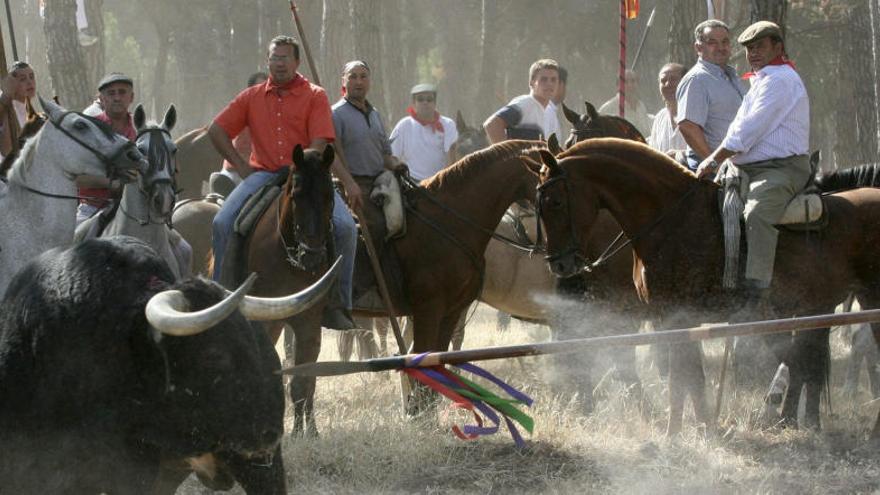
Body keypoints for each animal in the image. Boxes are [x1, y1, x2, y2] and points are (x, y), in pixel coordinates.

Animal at [536, 138, 880, 436]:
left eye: (555, 201)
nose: (559, 264)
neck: (673, 218)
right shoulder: (675, 319)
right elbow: (692, 376)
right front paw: (703, 428)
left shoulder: (677, 315)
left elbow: (680, 377)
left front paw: (674, 434)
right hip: (823, 307)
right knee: (808, 361)